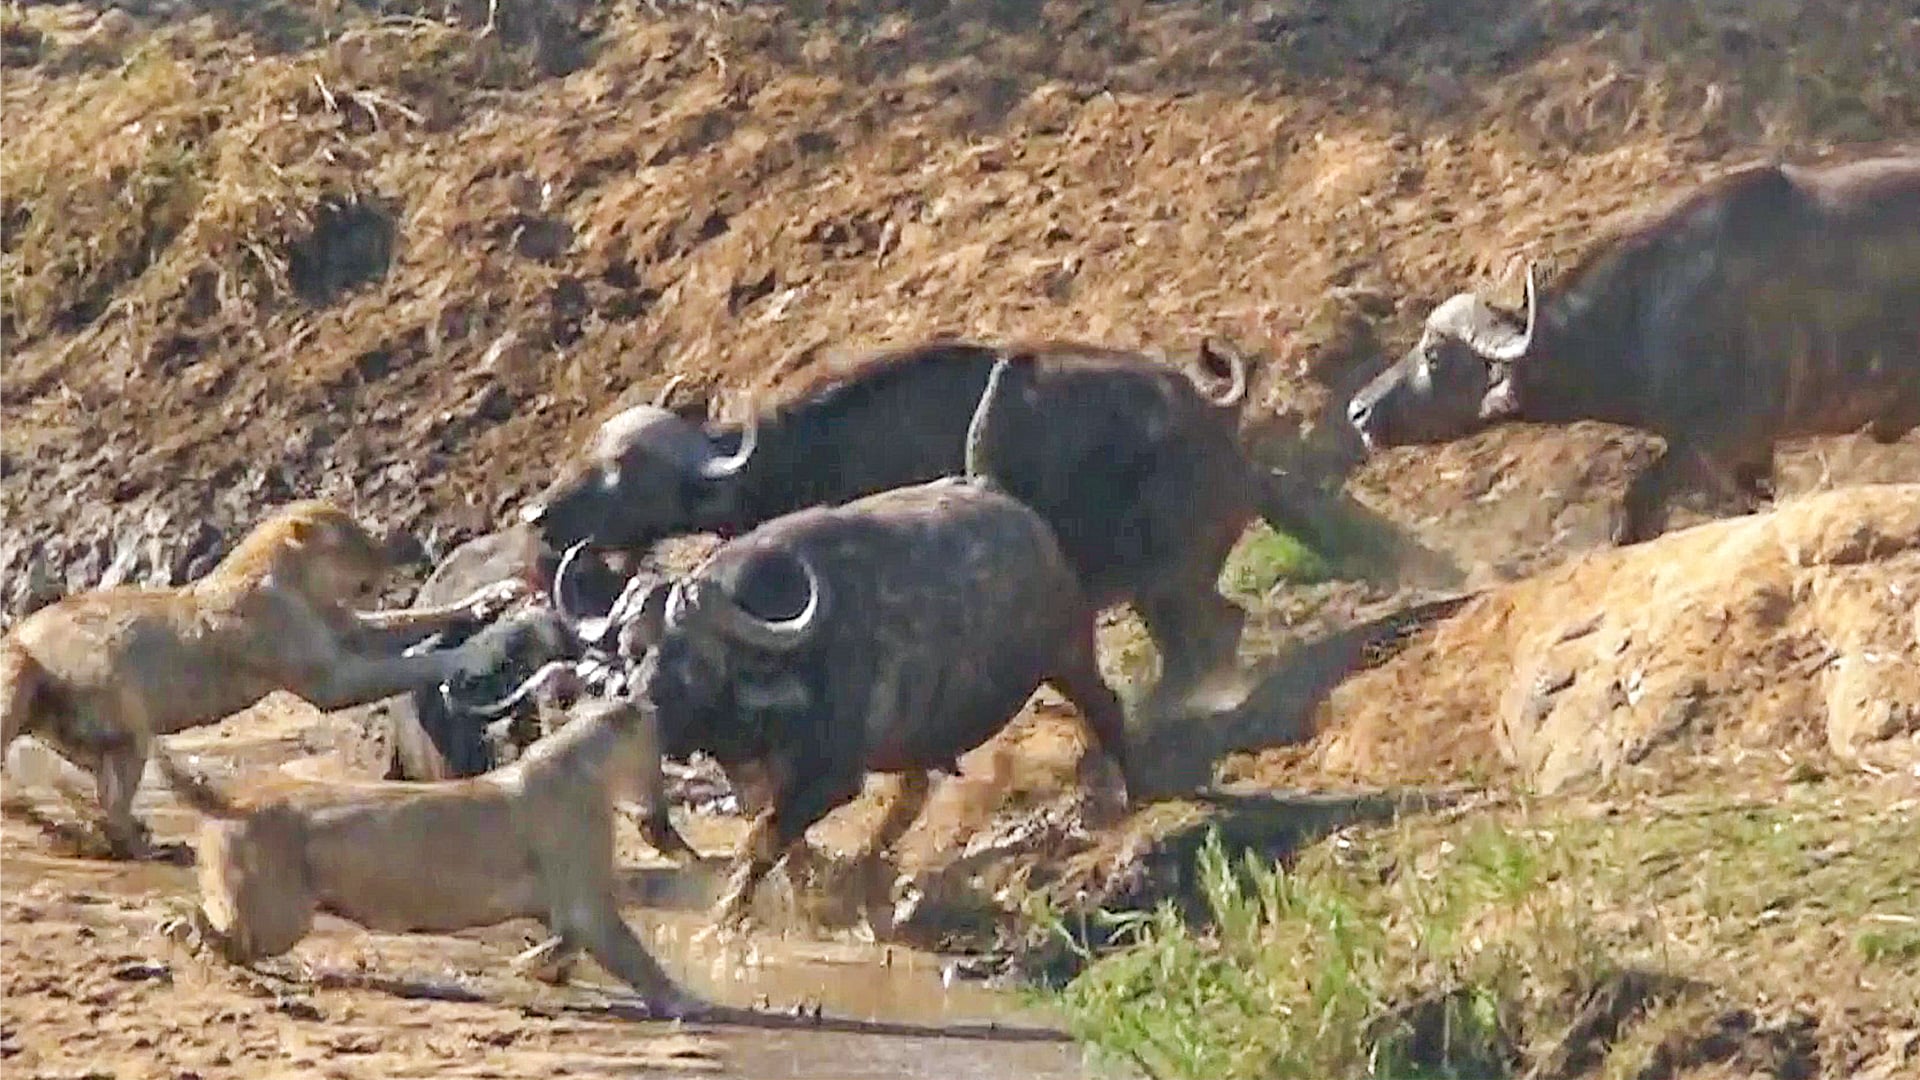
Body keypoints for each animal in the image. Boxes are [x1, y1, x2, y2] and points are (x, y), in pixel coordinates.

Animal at [0, 499, 528, 858]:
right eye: (353, 539)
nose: (398, 551)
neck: (295, 583)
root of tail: (21, 642)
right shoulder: (329, 678)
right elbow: (406, 665)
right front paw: (476, 651)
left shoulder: (348, 629)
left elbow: (413, 617)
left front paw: (494, 597)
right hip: (125, 719)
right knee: (111, 806)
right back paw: (152, 847)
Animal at [153, 696, 708, 1019]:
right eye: (658, 752)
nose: (664, 819)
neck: (585, 763)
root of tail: (232, 799)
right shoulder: (589, 903)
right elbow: (639, 958)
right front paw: (690, 1002)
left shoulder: (567, 907)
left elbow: (565, 943)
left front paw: (536, 966)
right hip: (280, 916)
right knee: (209, 928)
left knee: (200, 924)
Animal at [522, 337, 1328, 716]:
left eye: (625, 469)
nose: (539, 516)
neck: (797, 458)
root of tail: (1210, 411)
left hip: (1165, 572)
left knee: (1215, 627)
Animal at [1347, 154, 1920, 544]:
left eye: (1434, 355)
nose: (1358, 411)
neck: (1645, 311)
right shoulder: (1745, 453)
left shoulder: (1721, 441)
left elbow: (1641, 503)